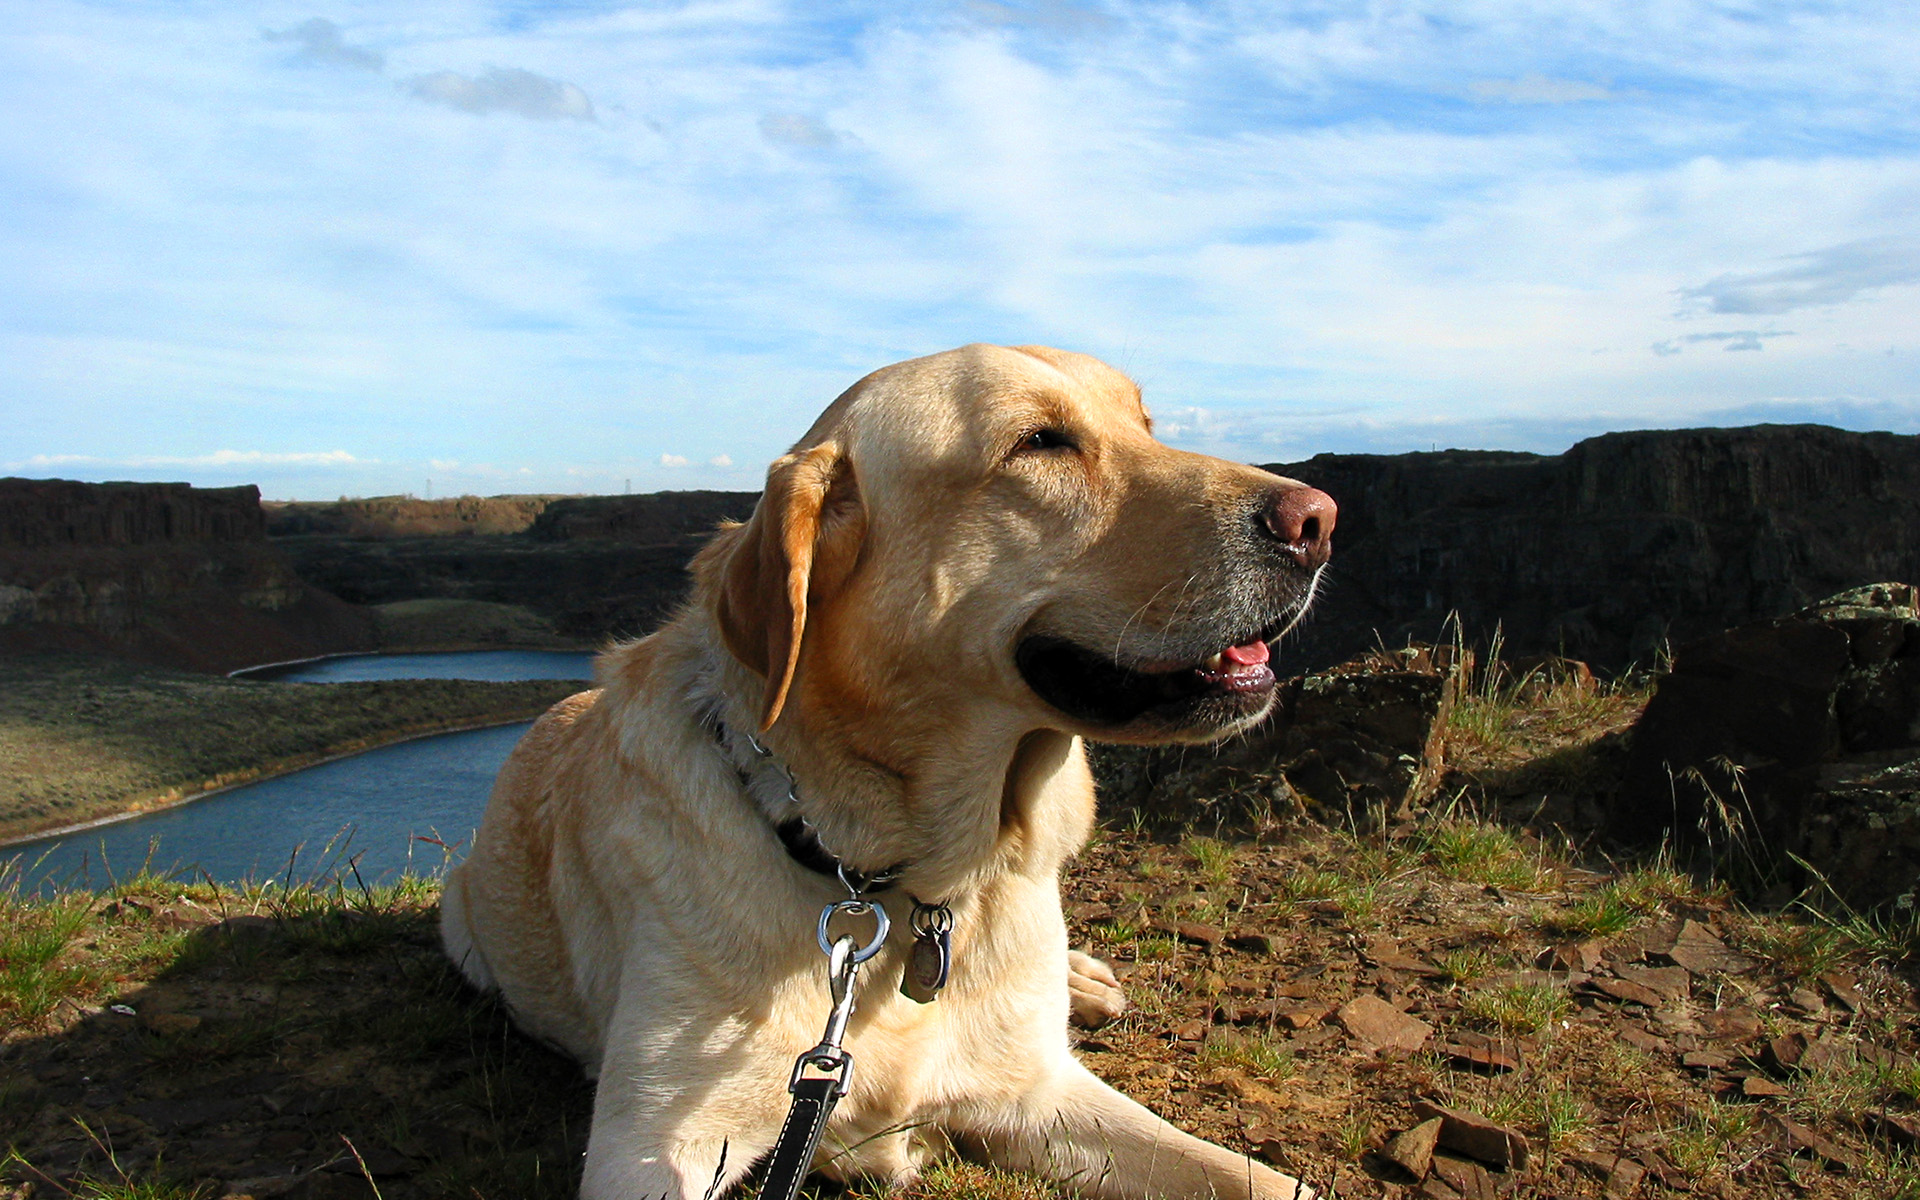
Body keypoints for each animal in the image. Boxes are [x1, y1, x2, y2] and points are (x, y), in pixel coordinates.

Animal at [441, 341, 1336, 1190]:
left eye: (1146, 425)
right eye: (1039, 442)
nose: (1319, 520)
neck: (903, 878)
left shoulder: (1043, 1092)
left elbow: (1262, 1181)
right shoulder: (654, 1144)